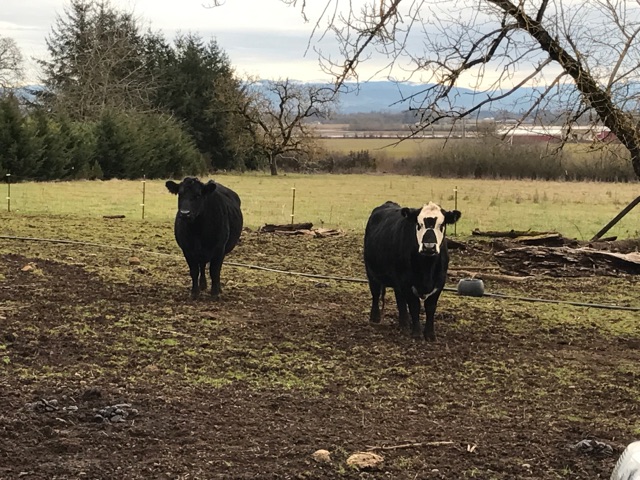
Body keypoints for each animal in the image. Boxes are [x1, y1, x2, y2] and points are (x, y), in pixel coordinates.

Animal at [364, 201, 460, 340]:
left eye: (441, 225)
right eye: (419, 224)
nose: (429, 247)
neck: (427, 267)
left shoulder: (440, 282)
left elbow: (430, 307)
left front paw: (430, 334)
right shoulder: (406, 282)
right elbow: (414, 306)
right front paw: (417, 333)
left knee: (400, 299)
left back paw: (404, 323)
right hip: (371, 272)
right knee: (376, 293)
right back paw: (375, 317)